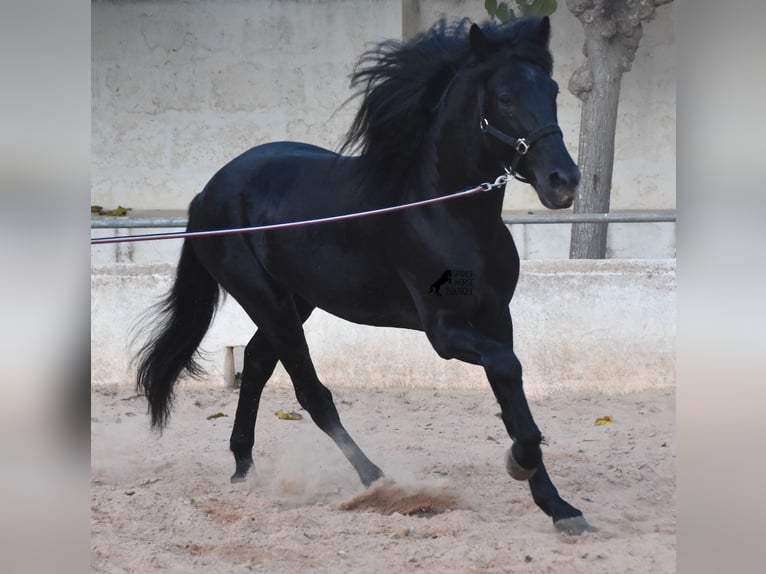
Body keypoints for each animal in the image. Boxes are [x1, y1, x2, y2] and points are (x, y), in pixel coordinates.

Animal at [135, 16, 592, 536]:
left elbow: (511, 390)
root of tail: (208, 192)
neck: (450, 214)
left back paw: (243, 469)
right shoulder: (444, 330)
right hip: (266, 299)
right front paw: (520, 462)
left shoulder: (497, 318)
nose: (563, 181)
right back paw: (378, 483)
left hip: (295, 301)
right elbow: (508, 371)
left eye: (553, 90)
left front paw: (559, 506)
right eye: (505, 97)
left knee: (255, 363)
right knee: (310, 392)